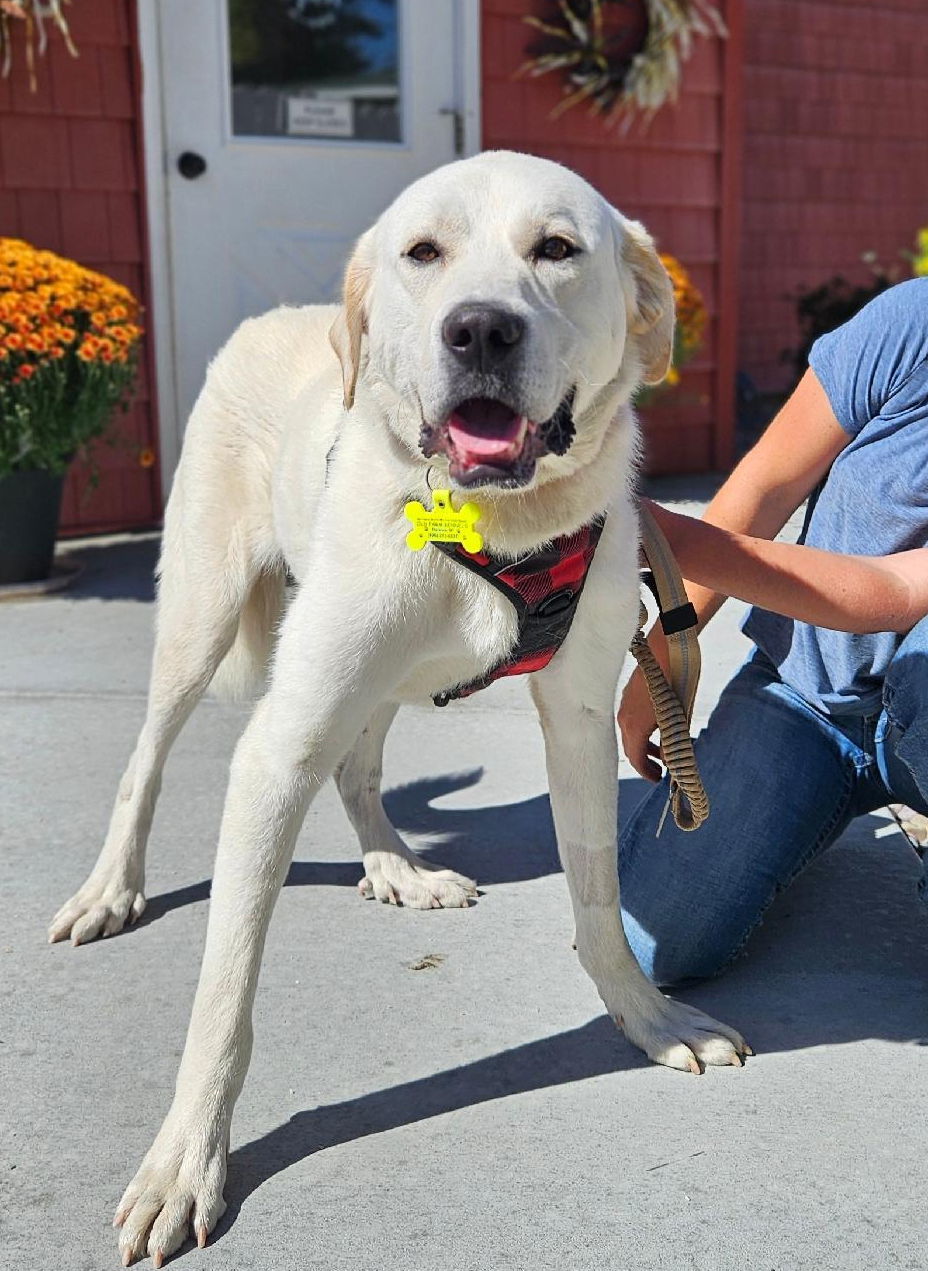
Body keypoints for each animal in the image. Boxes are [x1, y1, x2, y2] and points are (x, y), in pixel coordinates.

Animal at [48, 153, 742, 1265]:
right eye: (424, 252)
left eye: (556, 248)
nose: (480, 330)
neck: (491, 522)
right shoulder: (277, 746)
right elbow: (223, 996)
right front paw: (185, 1161)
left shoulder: (580, 716)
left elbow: (597, 901)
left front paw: (646, 1018)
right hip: (203, 619)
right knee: (146, 759)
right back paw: (112, 889)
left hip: (372, 674)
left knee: (359, 764)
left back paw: (394, 867)